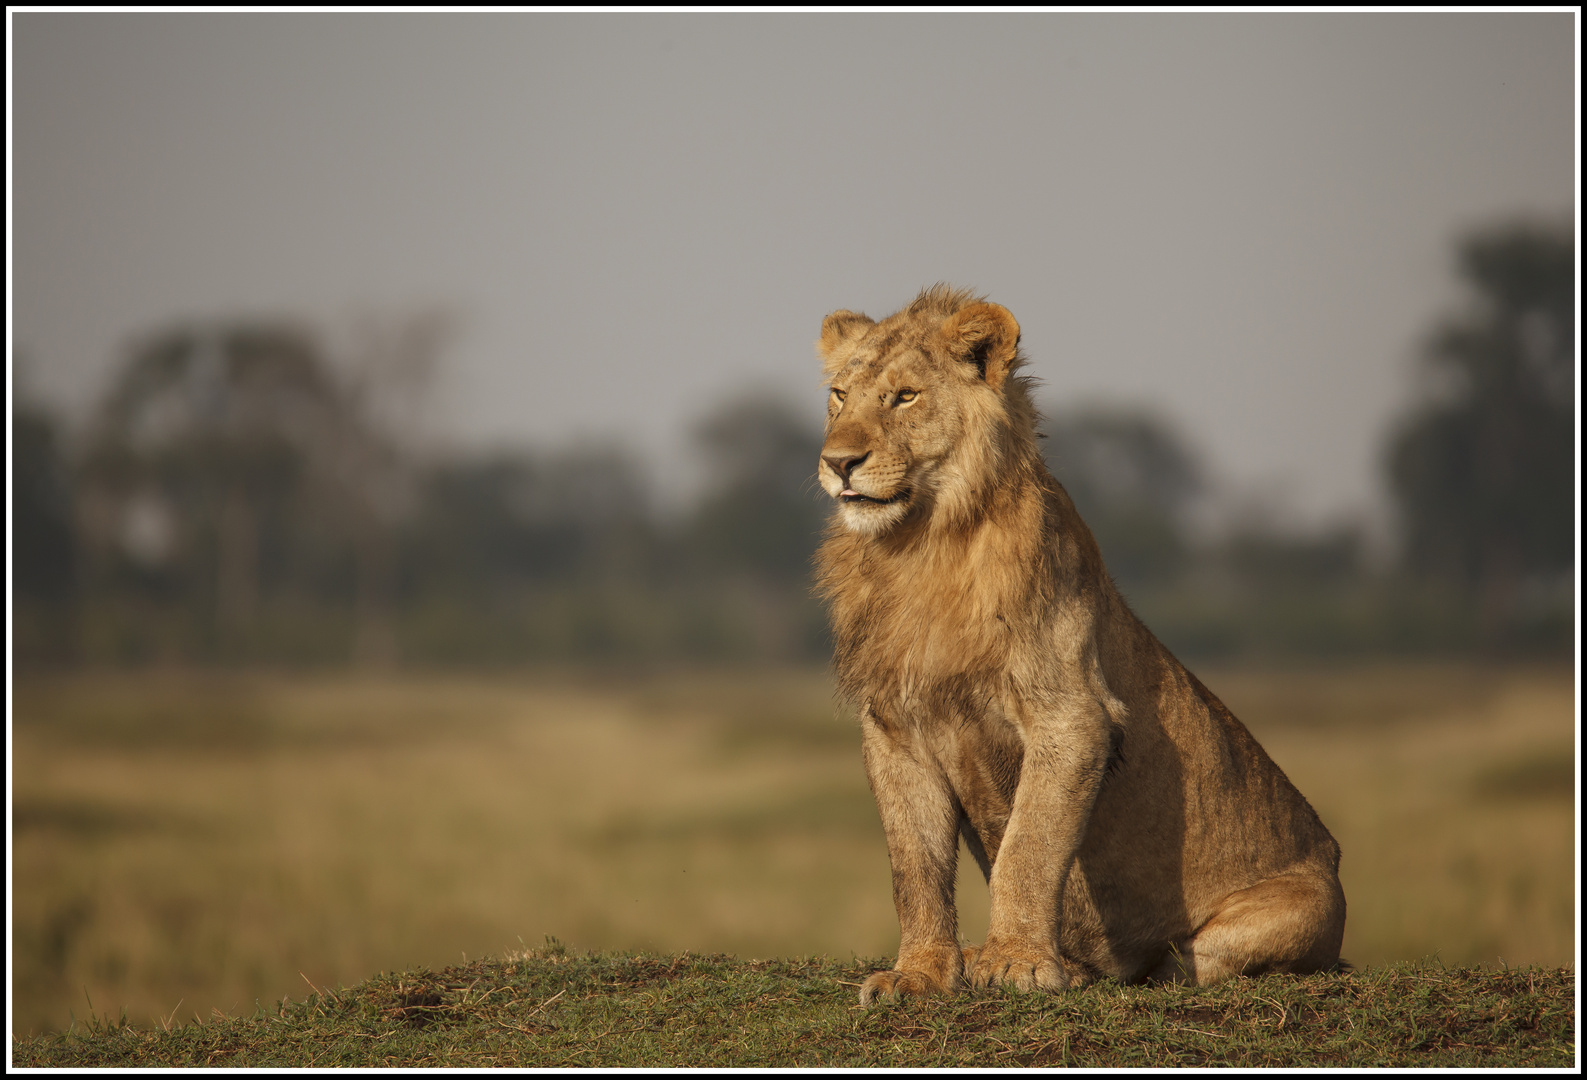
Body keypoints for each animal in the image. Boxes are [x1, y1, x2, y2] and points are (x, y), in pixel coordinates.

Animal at [812, 283, 1345, 1002]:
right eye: (840, 395)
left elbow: (1028, 848)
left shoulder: (1070, 712)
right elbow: (914, 867)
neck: (919, 546)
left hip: (1295, 907)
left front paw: (1015, 961)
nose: (839, 462)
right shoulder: (896, 728)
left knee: (1184, 963)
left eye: (904, 397)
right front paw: (919, 972)